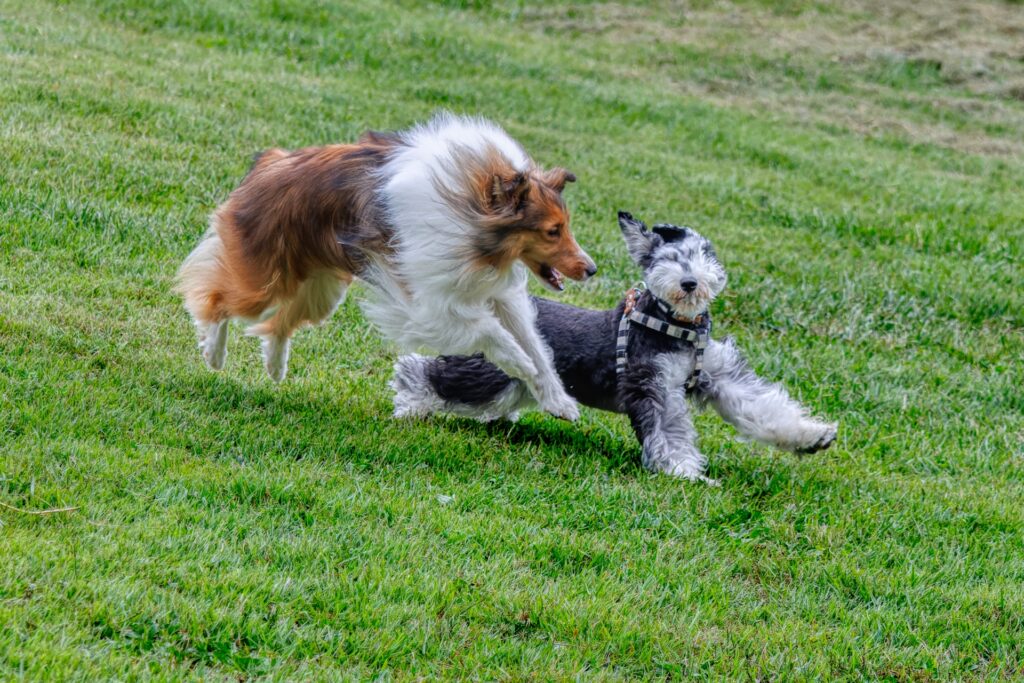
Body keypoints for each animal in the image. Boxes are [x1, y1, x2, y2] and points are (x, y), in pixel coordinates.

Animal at [174, 112, 593, 421]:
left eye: (566, 226)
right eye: (553, 230)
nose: (591, 270)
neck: (470, 213)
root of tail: (272, 162)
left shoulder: (497, 293)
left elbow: (536, 346)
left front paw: (558, 401)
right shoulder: (429, 303)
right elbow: (492, 333)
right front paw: (519, 364)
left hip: (320, 287)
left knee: (278, 325)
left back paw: (275, 367)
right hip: (264, 278)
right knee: (215, 300)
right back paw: (213, 352)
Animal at [387, 210, 835, 483]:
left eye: (701, 254)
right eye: (664, 259)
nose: (689, 282)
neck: (675, 325)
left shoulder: (723, 378)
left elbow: (764, 409)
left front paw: (812, 436)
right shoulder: (653, 386)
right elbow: (668, 433)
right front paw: (686, 474)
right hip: (486, 373)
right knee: (422, 371)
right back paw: (410, 405)